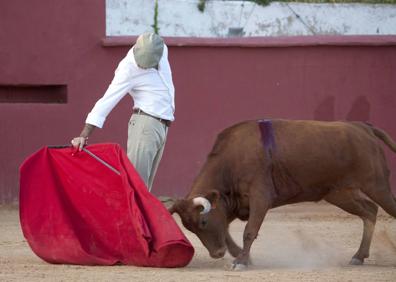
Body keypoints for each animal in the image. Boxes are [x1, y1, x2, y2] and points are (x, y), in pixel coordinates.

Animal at [169, 119, 396, 268]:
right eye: (189, 229)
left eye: (203, 222)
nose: (217, 254)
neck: (231, 161)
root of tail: (364, 127)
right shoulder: (233, 203)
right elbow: (225, 229)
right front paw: (240, 256)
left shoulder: (260, 197)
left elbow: (249, 231)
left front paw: (241, 261)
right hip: (339, 193)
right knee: (369, 211)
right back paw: (358, 256)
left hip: (376, 185)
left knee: (383, 208)